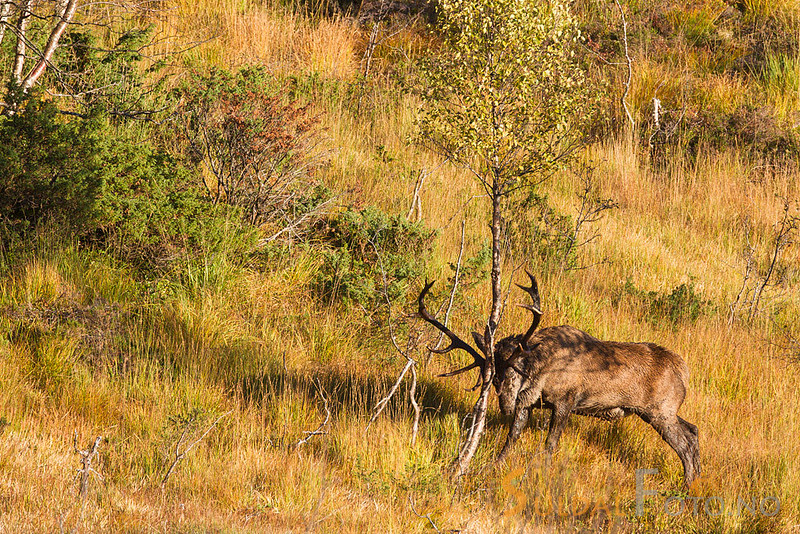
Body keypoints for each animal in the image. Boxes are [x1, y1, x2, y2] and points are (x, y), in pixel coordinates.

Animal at [418, 272, 700, 487]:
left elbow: (550, 444)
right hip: (662, 411)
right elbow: (512, 438)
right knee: (693, 430)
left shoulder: (566, 401)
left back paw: (686, 486)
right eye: (490, 378)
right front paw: (494, 466)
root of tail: (685, 371)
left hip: (659, 411)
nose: (506, 406)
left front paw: (539, 473)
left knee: (685, 445)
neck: (543, 372)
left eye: (514, 370)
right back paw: (696, 478)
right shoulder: (529, 403)